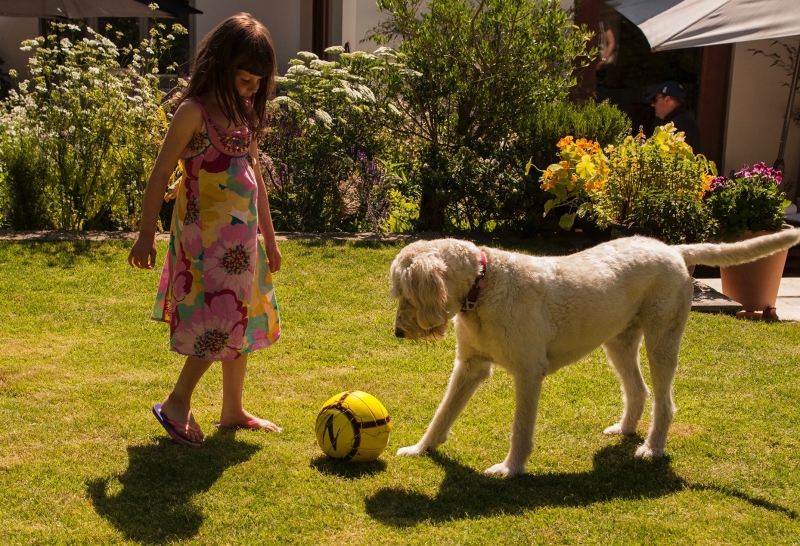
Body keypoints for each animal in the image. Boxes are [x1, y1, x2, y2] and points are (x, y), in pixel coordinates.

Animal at [390, 230, 800, 476]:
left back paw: (652, 448)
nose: (398, 333)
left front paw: (510, 469)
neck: (484, 284)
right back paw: (625, 429)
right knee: (638, 391)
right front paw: (420, 448)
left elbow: (520, 429)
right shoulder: (470, 367)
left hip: (662, 341)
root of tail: (671, 249)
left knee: (664, 402)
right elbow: (442, 414)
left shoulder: (528, 373)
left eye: (406, 295)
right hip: (619, 343)